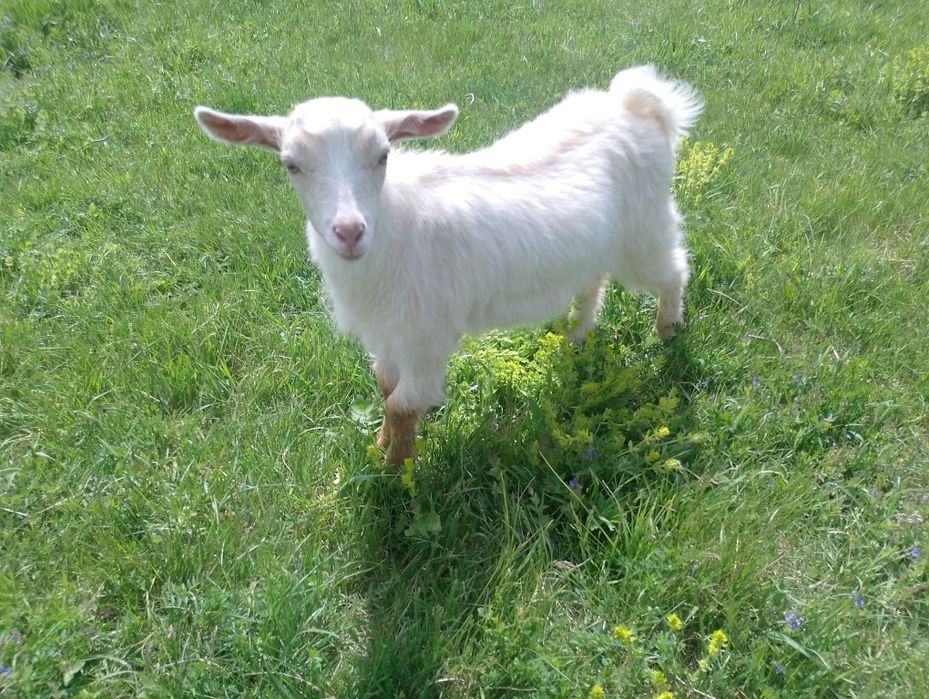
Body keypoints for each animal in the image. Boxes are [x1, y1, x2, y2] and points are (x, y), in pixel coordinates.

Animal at [194, 65, 701, 466]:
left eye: (383, 155)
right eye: (291, 165)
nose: (350, 231)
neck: (396, 230)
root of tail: (640, 105)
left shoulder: (426, 336)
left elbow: (403, 405)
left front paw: (395, 473)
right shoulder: (387, 331)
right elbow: (384, 386)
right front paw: (378, 447)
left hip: (643, 232)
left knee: (674, 267)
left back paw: (667, 330)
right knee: (592, 280)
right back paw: (574, 337)